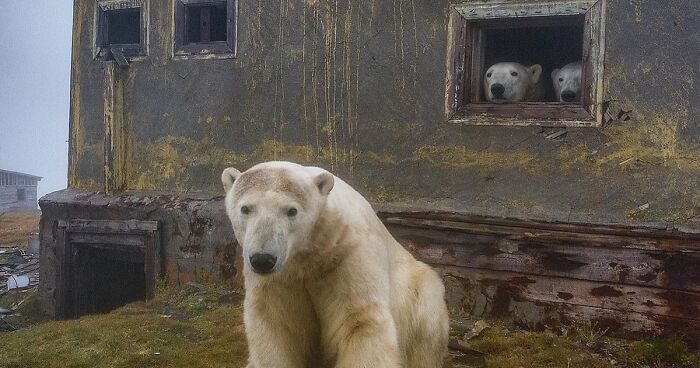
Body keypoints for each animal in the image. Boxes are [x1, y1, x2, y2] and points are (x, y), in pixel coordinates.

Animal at [223, 162, 448, 368]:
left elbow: (358, 322)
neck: (311, 253)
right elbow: (276, 323)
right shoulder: (281, 277)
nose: (263, 259)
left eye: (291, 211)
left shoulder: (348, 257)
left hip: (416, 291)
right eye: (245, 208)